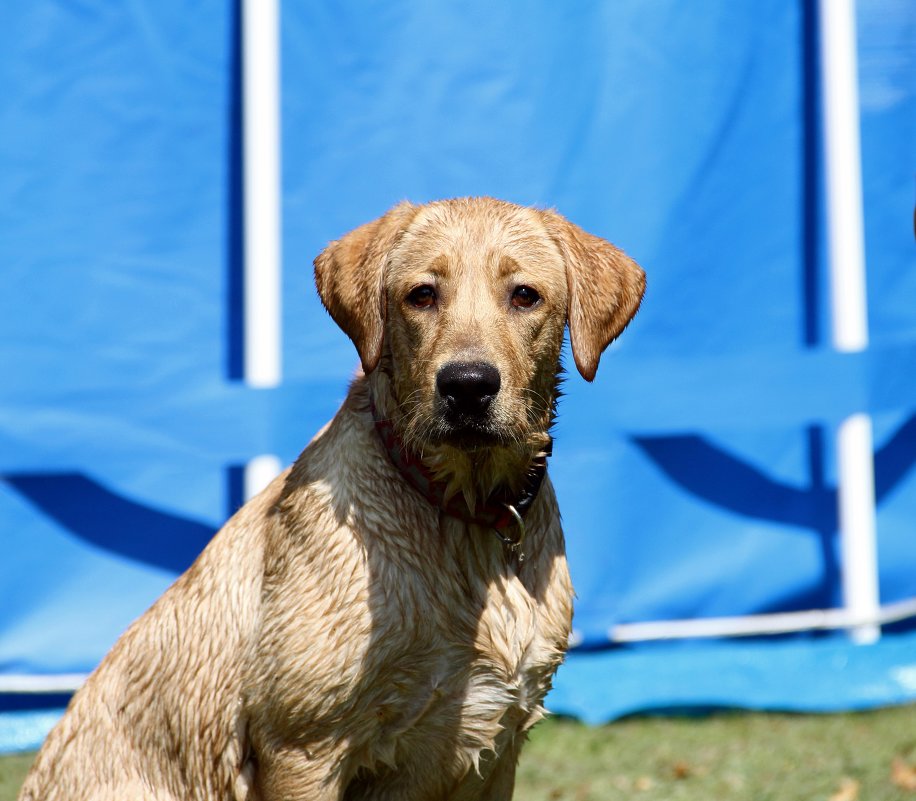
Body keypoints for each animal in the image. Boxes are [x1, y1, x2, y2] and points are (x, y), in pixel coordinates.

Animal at [19, 195, 644, 800]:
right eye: (421, 295)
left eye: (524, 296)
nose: (467, 385)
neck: (460, 517)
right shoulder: (303, 748)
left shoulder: (499, 748)